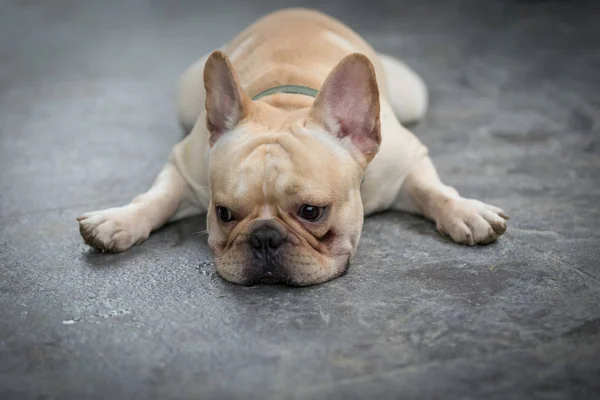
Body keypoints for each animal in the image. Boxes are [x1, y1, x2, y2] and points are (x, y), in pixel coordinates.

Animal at [77, 7, 508, 286]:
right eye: (223, 214)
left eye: (312, 212)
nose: (264, 237)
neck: (286, 100)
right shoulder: (184, 164)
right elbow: (157, 197)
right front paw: (119, 220)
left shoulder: (407, 159)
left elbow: (432, 189)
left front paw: (466, 211)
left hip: (413, 94)